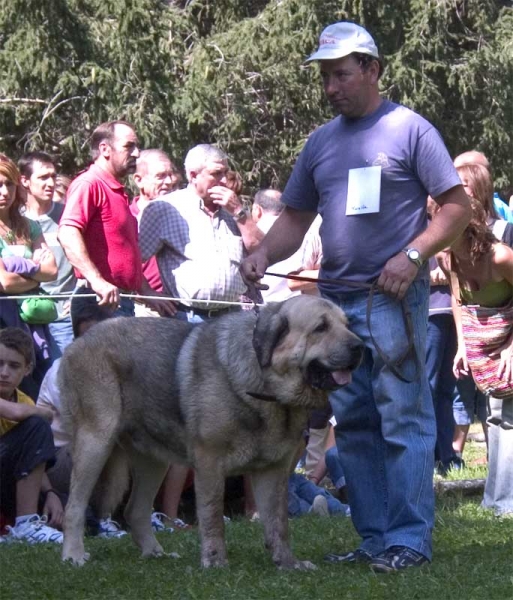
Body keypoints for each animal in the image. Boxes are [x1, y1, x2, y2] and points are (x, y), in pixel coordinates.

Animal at [60, 296, 362, 568]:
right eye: (320, 327)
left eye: (347, 325)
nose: (360, 346)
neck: (265, 385)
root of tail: (78, 343)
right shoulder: (209, 463)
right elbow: (213, 515)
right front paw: (215, 562)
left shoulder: (273, 471)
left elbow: (278, 523)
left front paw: (288, 563)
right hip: (96, 442)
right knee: (74, 507)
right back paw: (74, 555)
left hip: (152, 461)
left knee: (135, 509)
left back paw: (155, 554)